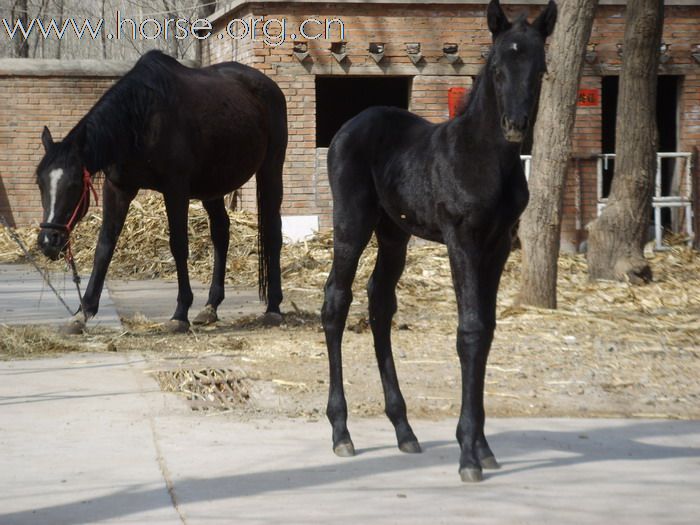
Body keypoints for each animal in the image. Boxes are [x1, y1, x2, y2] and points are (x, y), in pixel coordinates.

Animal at [34, 51, 288, 334]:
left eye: (74, 185)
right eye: (40, 184)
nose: (48, 241)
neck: (141, 119)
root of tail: (269, 87)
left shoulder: (175, 189)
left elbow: (178, 245)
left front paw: (180, 313)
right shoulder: (118, 189)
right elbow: (104, 247)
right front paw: (82, 312)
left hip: (270, 169)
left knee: (273, 233)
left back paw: (273, 307)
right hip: (212, 187)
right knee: (221, 234)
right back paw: (210, 307)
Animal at [322, 0, 556, 482]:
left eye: (540, 68)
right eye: (497, 67)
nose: (515, 125)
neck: (486, 157)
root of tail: (349, 126)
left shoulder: (498, 244)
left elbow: (487, 330)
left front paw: (482, 447)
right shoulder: (461, 237)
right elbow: (470, 330)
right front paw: (468, 455)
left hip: (393, 234)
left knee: (379, 302)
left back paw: (404, 429)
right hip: (352, 223)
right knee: (336, 300)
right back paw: (341, 432)